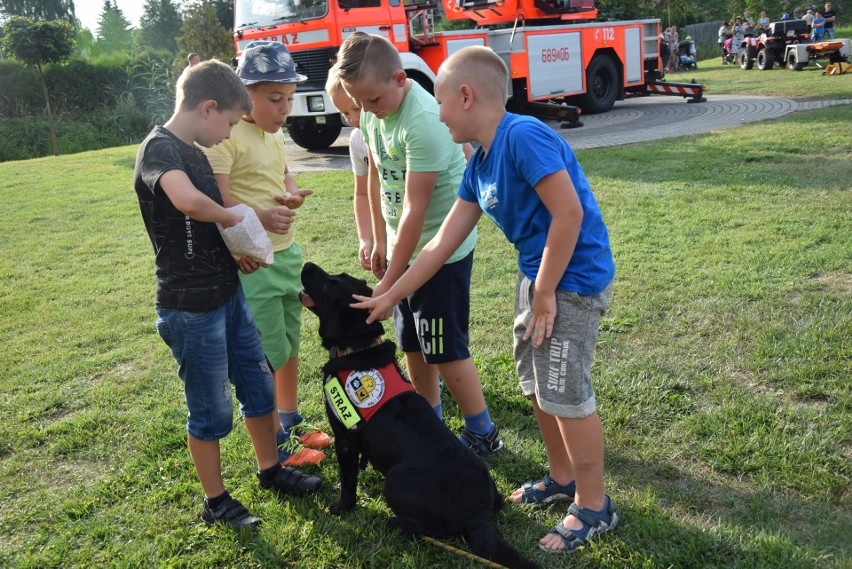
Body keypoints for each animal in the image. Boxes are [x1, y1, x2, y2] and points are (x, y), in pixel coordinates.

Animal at [302, 262, 536, 568]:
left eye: (329, 284)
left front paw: (342, 508)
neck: (358, 346)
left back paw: (395, 523)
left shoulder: (345, 439)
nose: (306, 265)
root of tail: (480, 517)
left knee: (427, 531)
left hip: (395, 479)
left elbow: (348, 482)